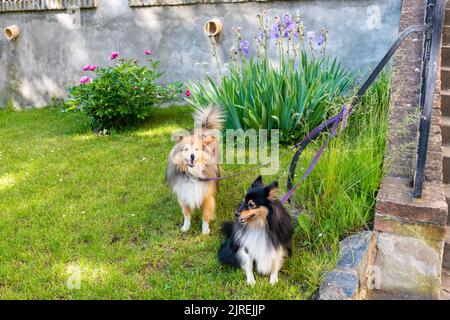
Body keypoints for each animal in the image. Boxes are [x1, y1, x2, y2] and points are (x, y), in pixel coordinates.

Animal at [166, 106, 224, 234]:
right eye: (186, 149)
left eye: (197, 149)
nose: (192, 156)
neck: (192, 174)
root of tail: (204, 129)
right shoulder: (184, 194)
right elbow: (186, 214)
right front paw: (186, 227)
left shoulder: (206, 195)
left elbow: (206, 214)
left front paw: (205, 229)